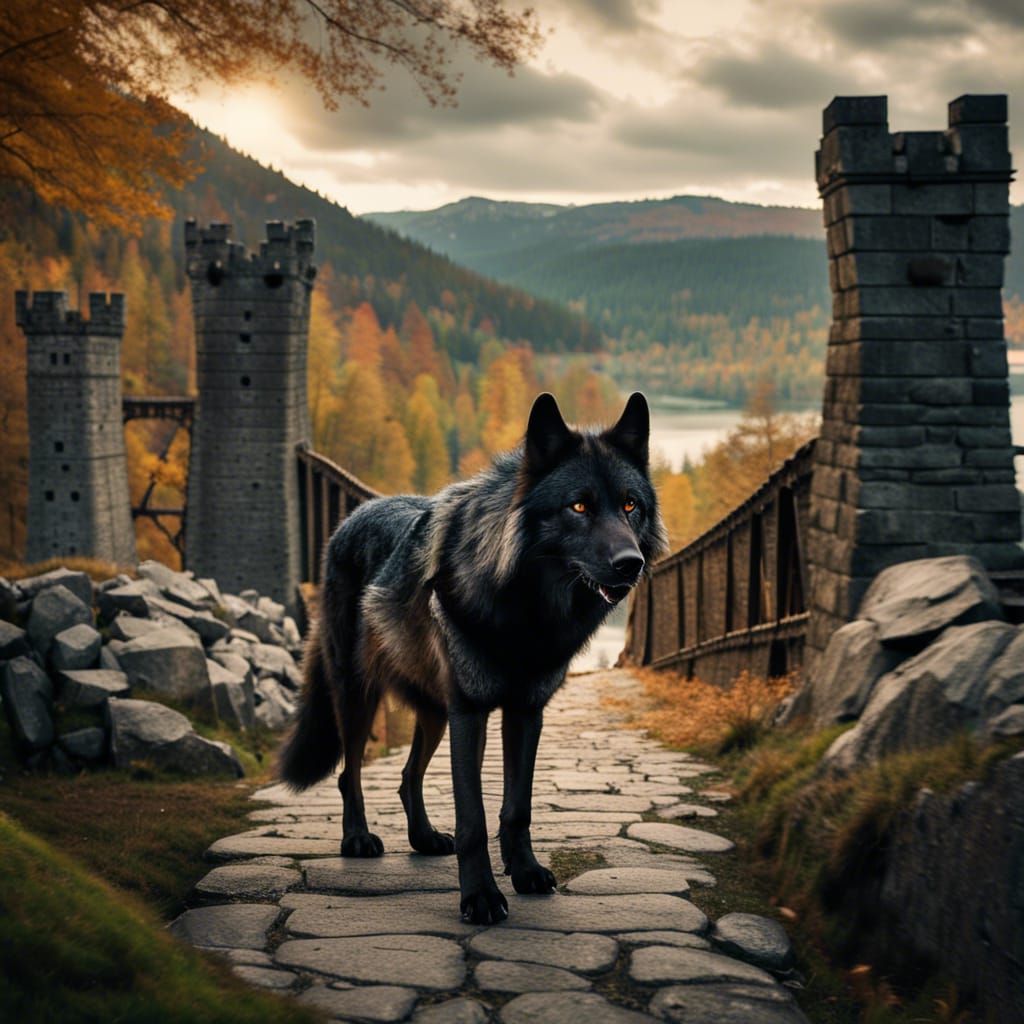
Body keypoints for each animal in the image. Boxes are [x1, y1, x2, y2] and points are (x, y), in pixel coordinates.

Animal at [279, 391, 667, 923]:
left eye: (630, 505)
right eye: (579, 506)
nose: (631, 564)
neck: (525, 610)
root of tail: (351, 518)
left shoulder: (525, 713)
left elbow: (517, 807)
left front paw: (525, 873)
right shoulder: (471, 711)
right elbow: (474, 818)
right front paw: (481, 897)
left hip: (434, 712)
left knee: (406, 777)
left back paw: (423, 839)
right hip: (360, 699)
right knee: (348, 772)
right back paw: (357, 839)